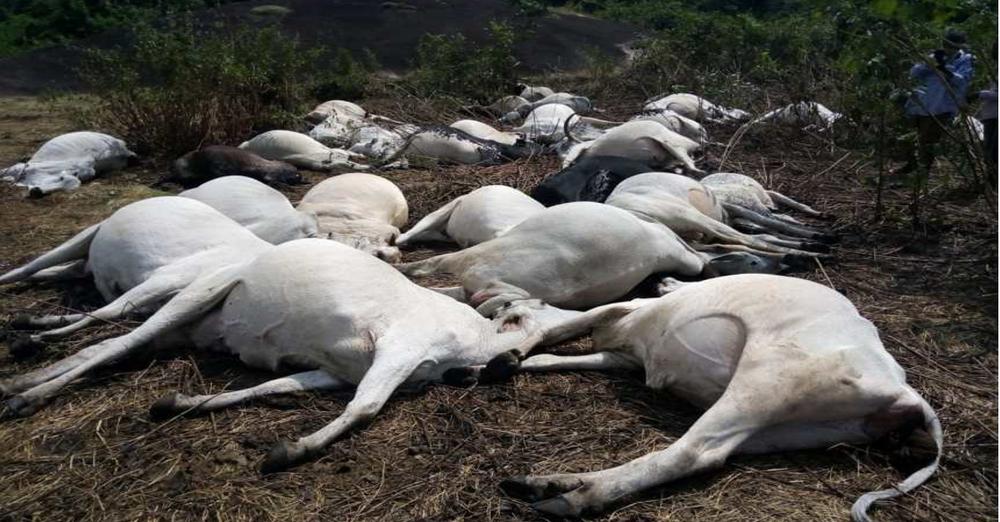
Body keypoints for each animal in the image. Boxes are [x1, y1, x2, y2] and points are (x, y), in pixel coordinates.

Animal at [0, 239, 587, 475]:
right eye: (523, 320)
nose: (507, 363)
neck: (468, 339)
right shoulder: (398, 348)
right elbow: (365, 408)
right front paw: (291, 451)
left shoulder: (332, 371)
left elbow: (268, 387)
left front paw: (180, 402)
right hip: (196, 295)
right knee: (118, 338)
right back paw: (29, 392)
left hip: (187, 328)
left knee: (108, 343)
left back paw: (22, 375)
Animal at [492, 274, 940, 522]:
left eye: (509, 313)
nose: (502, 308)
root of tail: (904, 391)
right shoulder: (624, 356)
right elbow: (554, 355)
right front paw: (511, 363)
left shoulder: (626, 308)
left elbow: (557, 329)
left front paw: (505, 358)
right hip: (782, 428)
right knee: (714, 453)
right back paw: (553, 485)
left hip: (764, 382)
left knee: (689, 453)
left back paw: (569, 495)